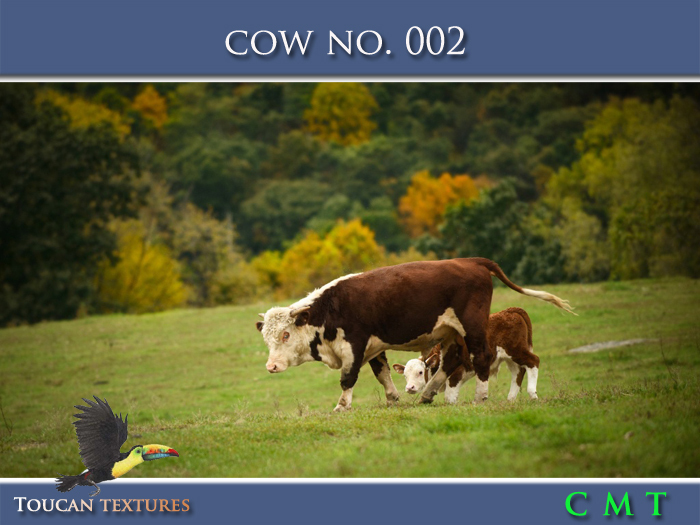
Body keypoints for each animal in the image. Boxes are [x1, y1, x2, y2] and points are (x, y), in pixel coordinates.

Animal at [393, 307, 540, 404]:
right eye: (405, 375)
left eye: (420, 372)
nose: (409, 388)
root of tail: (511, 311)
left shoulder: (456, 374)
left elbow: (449, 398)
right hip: (509, 357)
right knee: (518, 373)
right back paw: (510, 399)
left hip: (516, 351)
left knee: (533, 361)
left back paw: (532, 394)